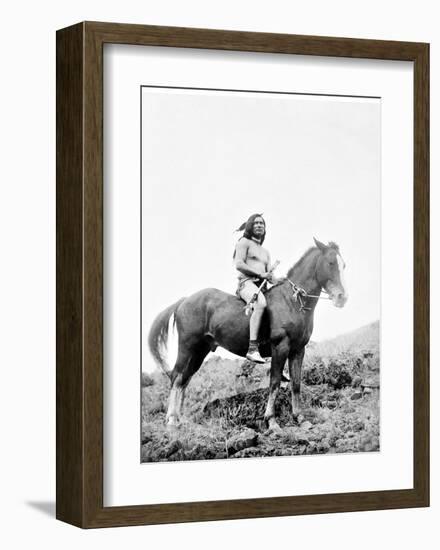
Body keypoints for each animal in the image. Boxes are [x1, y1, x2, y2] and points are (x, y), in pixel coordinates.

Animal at [150, 239, 348, 434]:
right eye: (330, 263)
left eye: (343, 265)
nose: (342, 297)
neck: (292, 301)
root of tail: (184, 300)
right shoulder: (280, 347)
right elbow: (275, 382)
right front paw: (271, 421)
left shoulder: (298, 350)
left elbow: (296, 384)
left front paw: (300, 418)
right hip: (187, 347)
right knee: (176, 377)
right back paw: (171, 421)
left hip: (200, 352)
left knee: (184, 380)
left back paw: (179, 419)